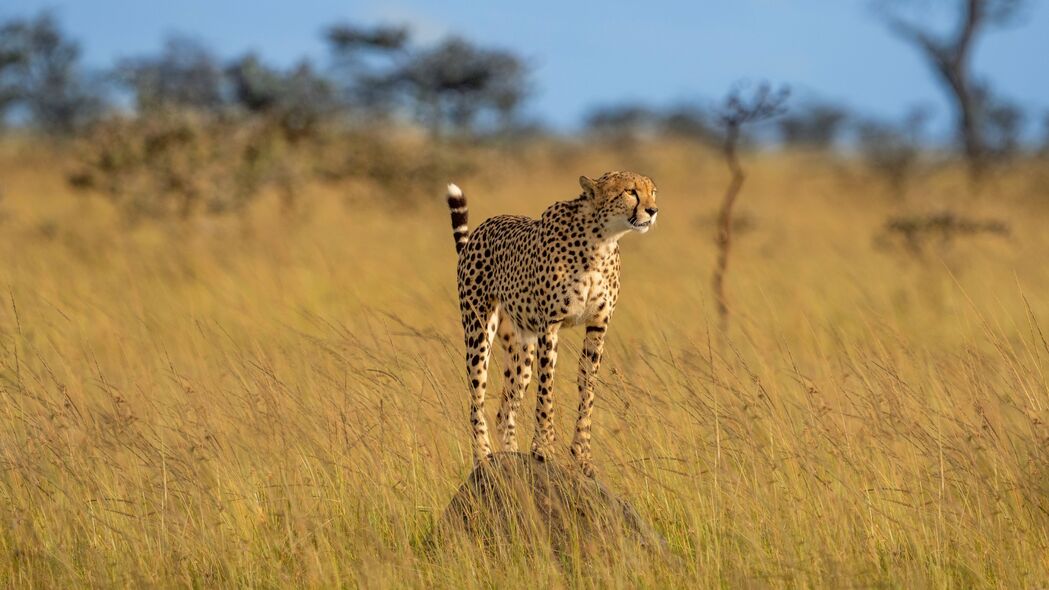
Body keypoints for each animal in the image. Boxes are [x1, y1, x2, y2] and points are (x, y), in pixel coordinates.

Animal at [446, 169, 658, 472]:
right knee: (476, 398)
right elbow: (547, 390)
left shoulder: (598, 326)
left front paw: (582, 454)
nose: (652, 210)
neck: (601, 241)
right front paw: (543, 448)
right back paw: (483, 456)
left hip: (522, 349)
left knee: (504, 409)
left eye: (653, 192)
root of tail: (482, 227)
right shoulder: (550, 327)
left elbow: (587, 390)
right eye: (630, 191)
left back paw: (511, 456)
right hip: (478, 331)